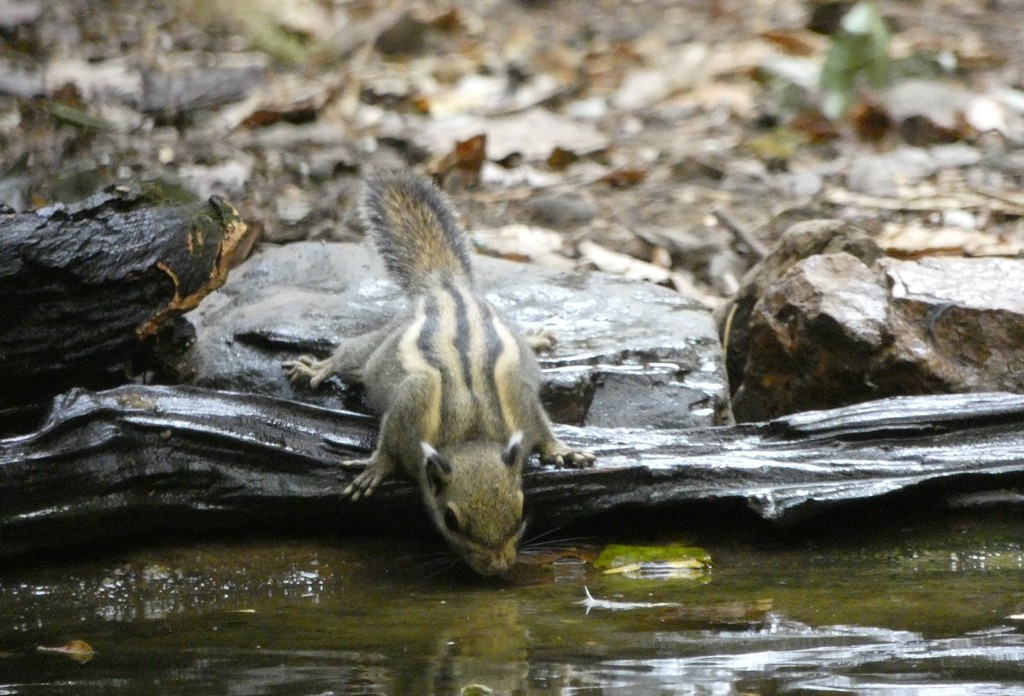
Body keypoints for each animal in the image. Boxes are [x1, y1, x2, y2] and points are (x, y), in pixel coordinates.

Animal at [283, 170, 595, 576]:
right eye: (450, 520)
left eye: (522, 509)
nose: (498, 568)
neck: (471, 437)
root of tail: (446, 288)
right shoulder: (410, 407)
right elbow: (389, 440)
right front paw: (376, 468)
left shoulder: (520, 399)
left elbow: (541, 425)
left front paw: (563, 451)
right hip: (380, 345)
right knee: (351, 354)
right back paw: (318, 367)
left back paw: (535, 337)